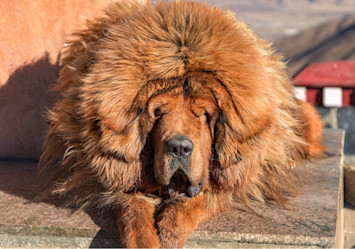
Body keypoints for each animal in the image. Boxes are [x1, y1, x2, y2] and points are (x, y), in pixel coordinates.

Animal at [37, 1, 324, 247]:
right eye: (158, 112)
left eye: (204, 115)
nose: (179, 148)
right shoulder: (116, 172)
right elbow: (131, 209)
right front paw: (144, 238)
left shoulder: (231, 177)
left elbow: (199, 201)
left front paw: (170, 231)